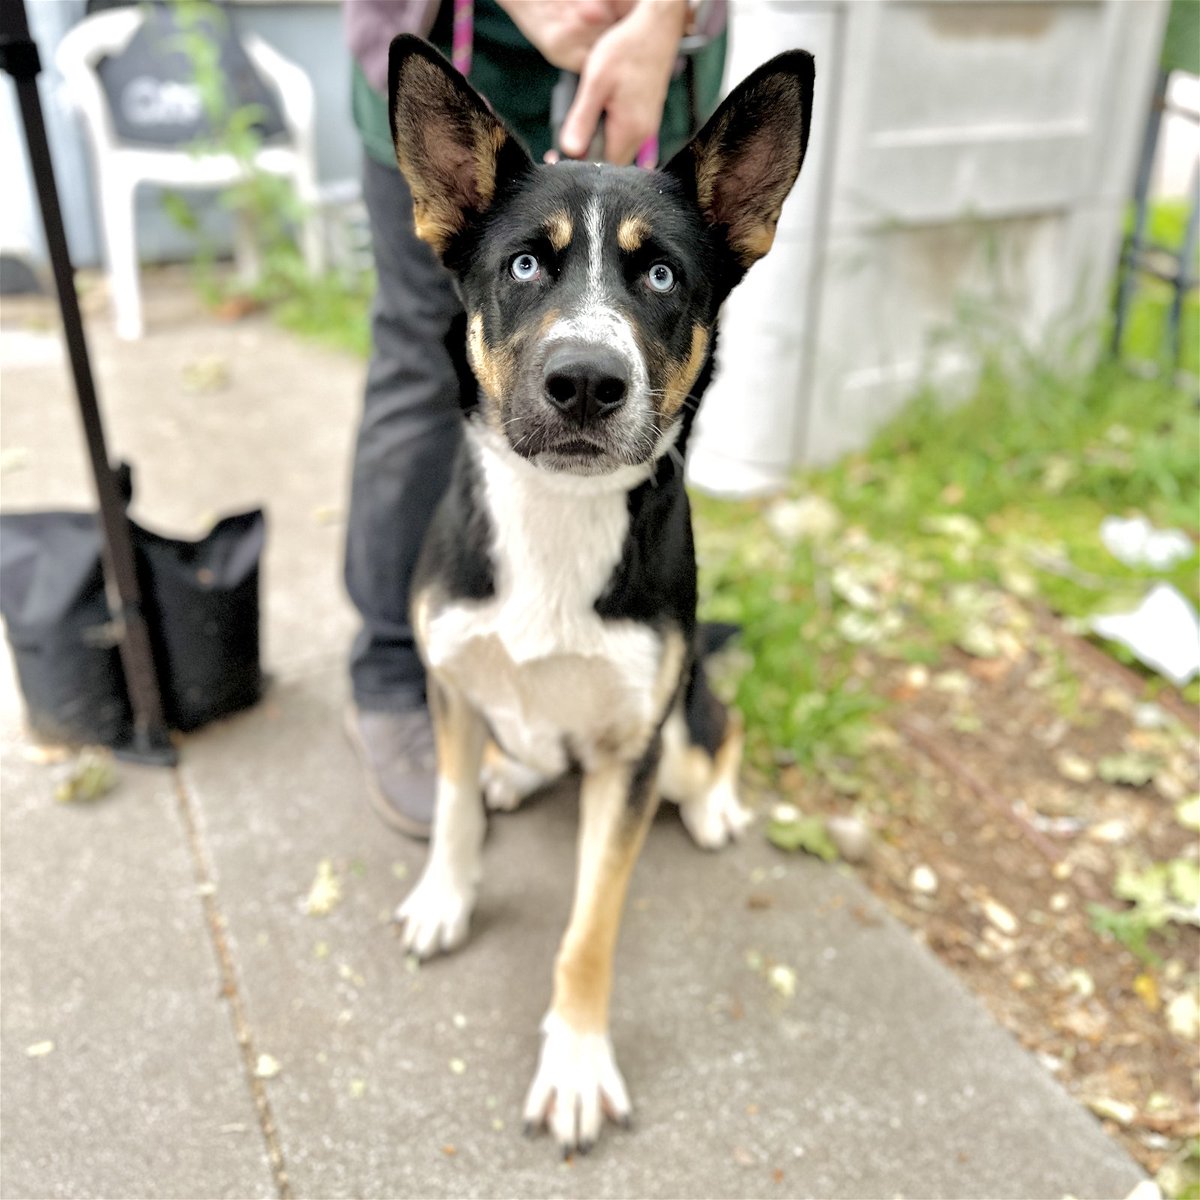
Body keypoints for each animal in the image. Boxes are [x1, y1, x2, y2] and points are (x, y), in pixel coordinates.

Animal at [386, 37, 816, 1156]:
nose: (586, 381)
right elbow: (449, 809)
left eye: (662, 274)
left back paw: (715, 805)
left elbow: (588, 929)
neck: (557, 514)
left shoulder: (629, 757)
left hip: (680, 727)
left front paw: (576, 1063)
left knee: (721, 728)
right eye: (524, 265)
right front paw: (445, 897)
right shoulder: (450, 680)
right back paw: (513, 773)